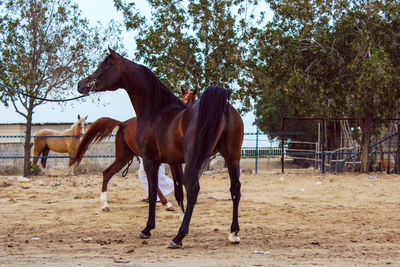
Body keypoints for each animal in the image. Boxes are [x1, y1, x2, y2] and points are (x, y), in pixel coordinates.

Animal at [75, 49, 244, 250]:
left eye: (103, 66)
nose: (81, 84)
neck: (155, 111)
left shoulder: (151, 160)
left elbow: (153, 189)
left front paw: (148, 228)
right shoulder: (174, 162)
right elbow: (178, 192)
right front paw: (179, 217)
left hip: (192, 160)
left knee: (194, 189)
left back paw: (178, 237)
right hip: (231, 157)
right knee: (235, 189)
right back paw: (233, 233)